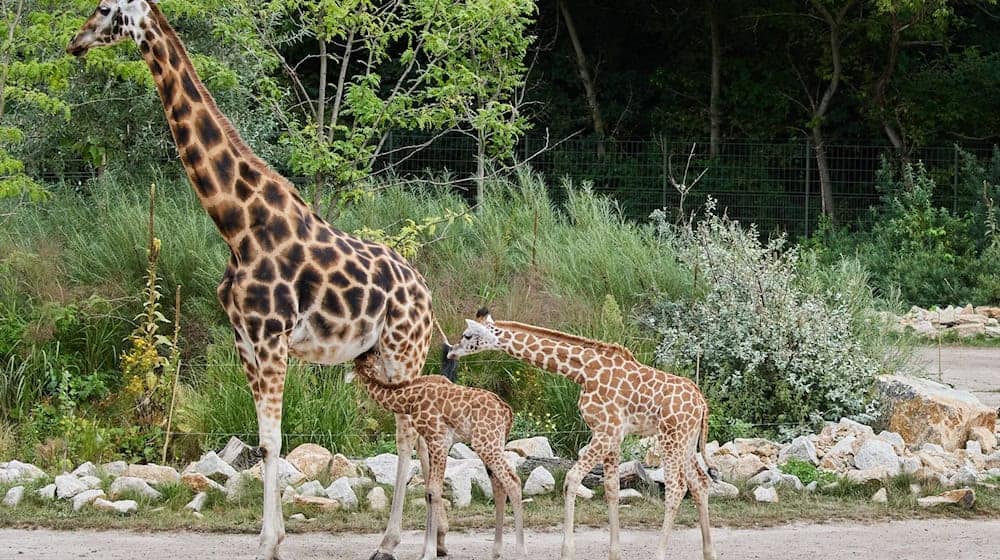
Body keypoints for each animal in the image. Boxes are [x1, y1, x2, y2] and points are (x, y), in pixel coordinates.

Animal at [69, 2, 438, 556]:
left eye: (105, 9)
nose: (76, 42)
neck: (237, 225)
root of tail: (428, 295)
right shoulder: (244, 338)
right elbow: (265, 443)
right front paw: (274, 537)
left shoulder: (270, 336)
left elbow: (275, 440)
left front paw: (268, 542)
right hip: (378, 356)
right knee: (409, 433)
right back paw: (395, 541)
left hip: (403, 354)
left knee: (413, 434)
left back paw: (405, 542)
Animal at [354, 352, 528, 560]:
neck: (409, 399)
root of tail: (508, 412)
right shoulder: (430, 440)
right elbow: (429, 490)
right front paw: (431, 548)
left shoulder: (438, 439)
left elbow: (433, 491)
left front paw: (428, 552)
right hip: (493, 443)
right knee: (499, 485)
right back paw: (496, 552)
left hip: (486, 443)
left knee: (513, 481)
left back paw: (520, 552)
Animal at [448, 310, 720, 560]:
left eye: (468, 335)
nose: (451, 352)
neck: (583, 371)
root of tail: (702, 402)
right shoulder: (612, 435)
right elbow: (611, 488)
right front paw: (614, 553)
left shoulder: (606, 431)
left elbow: (571, 479)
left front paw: (566, 551)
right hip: (686, 440)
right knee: (699, 483)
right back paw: (709, 552)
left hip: (670, 437)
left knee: (677, 487)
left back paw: (660, 554)